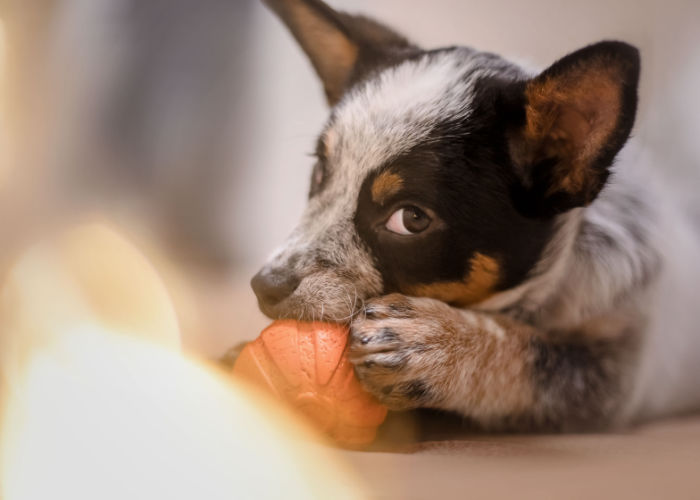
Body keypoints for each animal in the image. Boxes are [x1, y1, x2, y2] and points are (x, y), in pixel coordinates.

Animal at [252, 0, 700, 430]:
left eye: (411, 220)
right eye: (320, 173)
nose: (263, 286)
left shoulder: (617, 377)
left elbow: (539, 360)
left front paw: (439, 345)